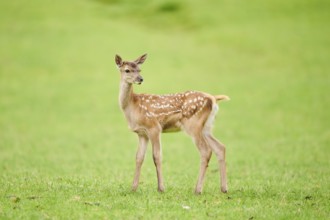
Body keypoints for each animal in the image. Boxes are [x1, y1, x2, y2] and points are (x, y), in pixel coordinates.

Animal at [114, 53, 228, 194]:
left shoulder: (154, 127)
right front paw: (133, 188)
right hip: (206, 126)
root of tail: (213, 98)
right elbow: (139, 157)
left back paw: (198, 189)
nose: (140, 79)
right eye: (127, 70)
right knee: (220, 147)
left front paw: (161, 188)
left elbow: (157, 156)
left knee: (206, 150)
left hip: (194, 125)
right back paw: (224, 188)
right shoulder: (142, 133)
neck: (133, 106)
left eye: (139, 69)